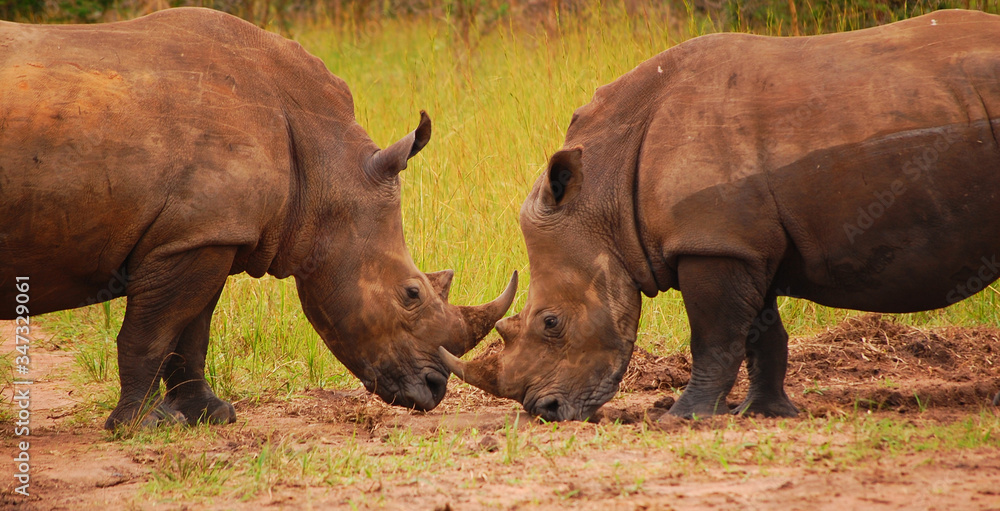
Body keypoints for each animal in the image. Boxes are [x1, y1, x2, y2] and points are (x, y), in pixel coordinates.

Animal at [0, 8, 517, 429]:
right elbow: (151, 334)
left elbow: (191, 334)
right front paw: (144, 428)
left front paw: (211, 417)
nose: (435, 391)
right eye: (411, 295)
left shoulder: (209, 235)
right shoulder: (193, 236)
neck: (328, 168)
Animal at [441, 10, 1000, 421]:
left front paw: (682, 418)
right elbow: (760, 331)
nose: (548, 411)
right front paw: (764, 413)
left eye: (551, 323)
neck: (603, 185)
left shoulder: (712, 242)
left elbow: (713, 334)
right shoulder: (741, 240)